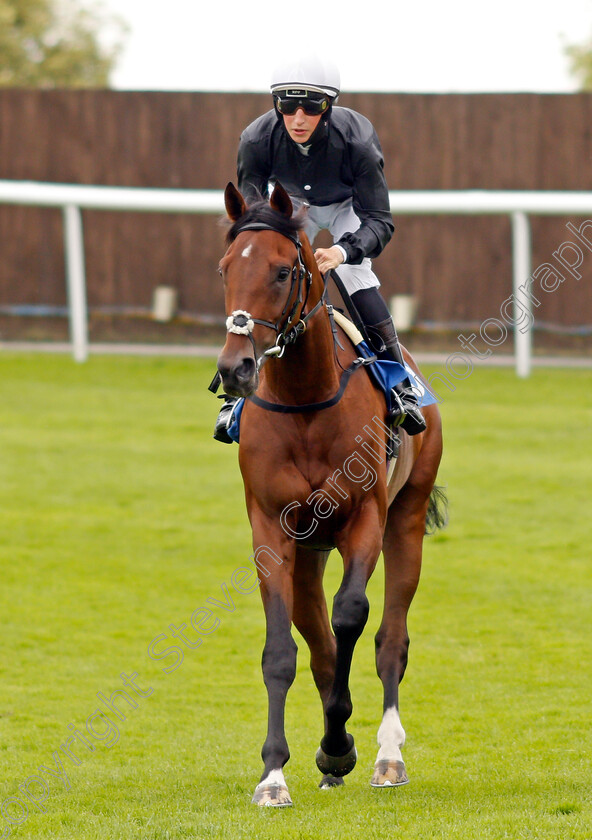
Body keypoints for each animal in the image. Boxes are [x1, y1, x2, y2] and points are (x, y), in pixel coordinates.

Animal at [217, 182, 444, 808]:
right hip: (307, 553)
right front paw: (275, 774)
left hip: (406, 518)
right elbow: (283, 650)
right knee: (318, 645)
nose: (236, 368)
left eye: (281, 271)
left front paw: (340, 743)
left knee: (390, 638)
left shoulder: (364, 517)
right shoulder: (272, 529)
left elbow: (352, 616)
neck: (305, 402)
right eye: (225, 269)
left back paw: (386, 756)